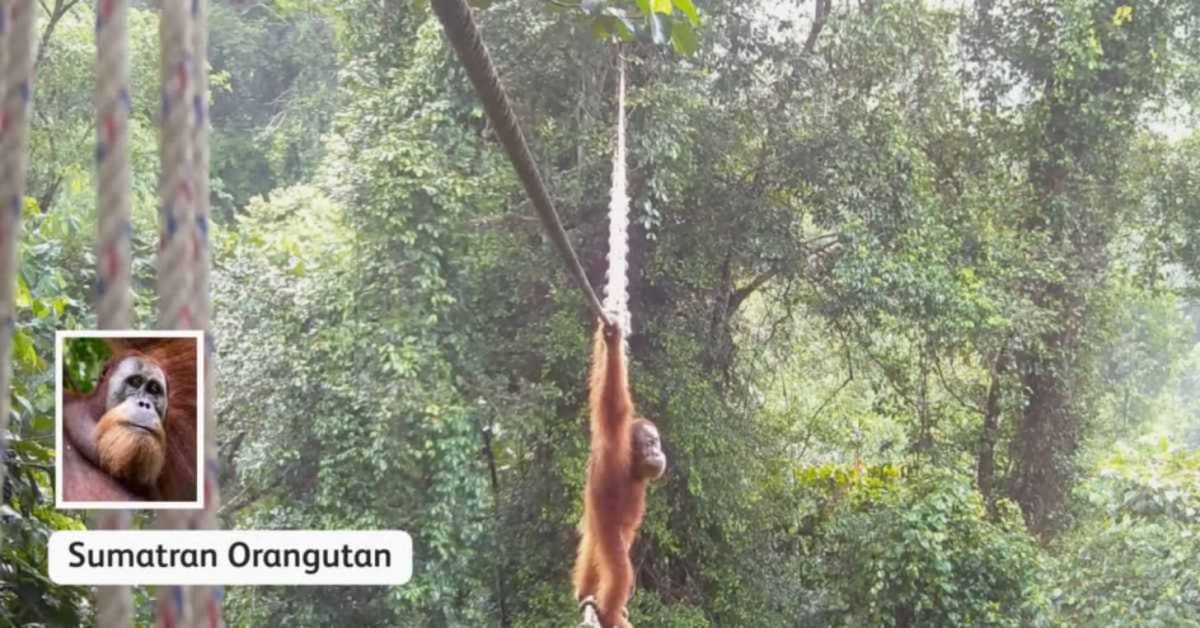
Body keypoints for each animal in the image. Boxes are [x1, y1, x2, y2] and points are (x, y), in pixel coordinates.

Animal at [573, 321, 666, 628]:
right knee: (620, 571)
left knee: (591, 552)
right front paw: (613, 343)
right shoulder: (615, 444)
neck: (633, 466)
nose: (658, 452)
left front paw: (607, 342)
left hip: (595, 531)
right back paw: (610, 613)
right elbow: (613, 405)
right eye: (650, 443)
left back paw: (586, 596)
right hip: (608, 534)